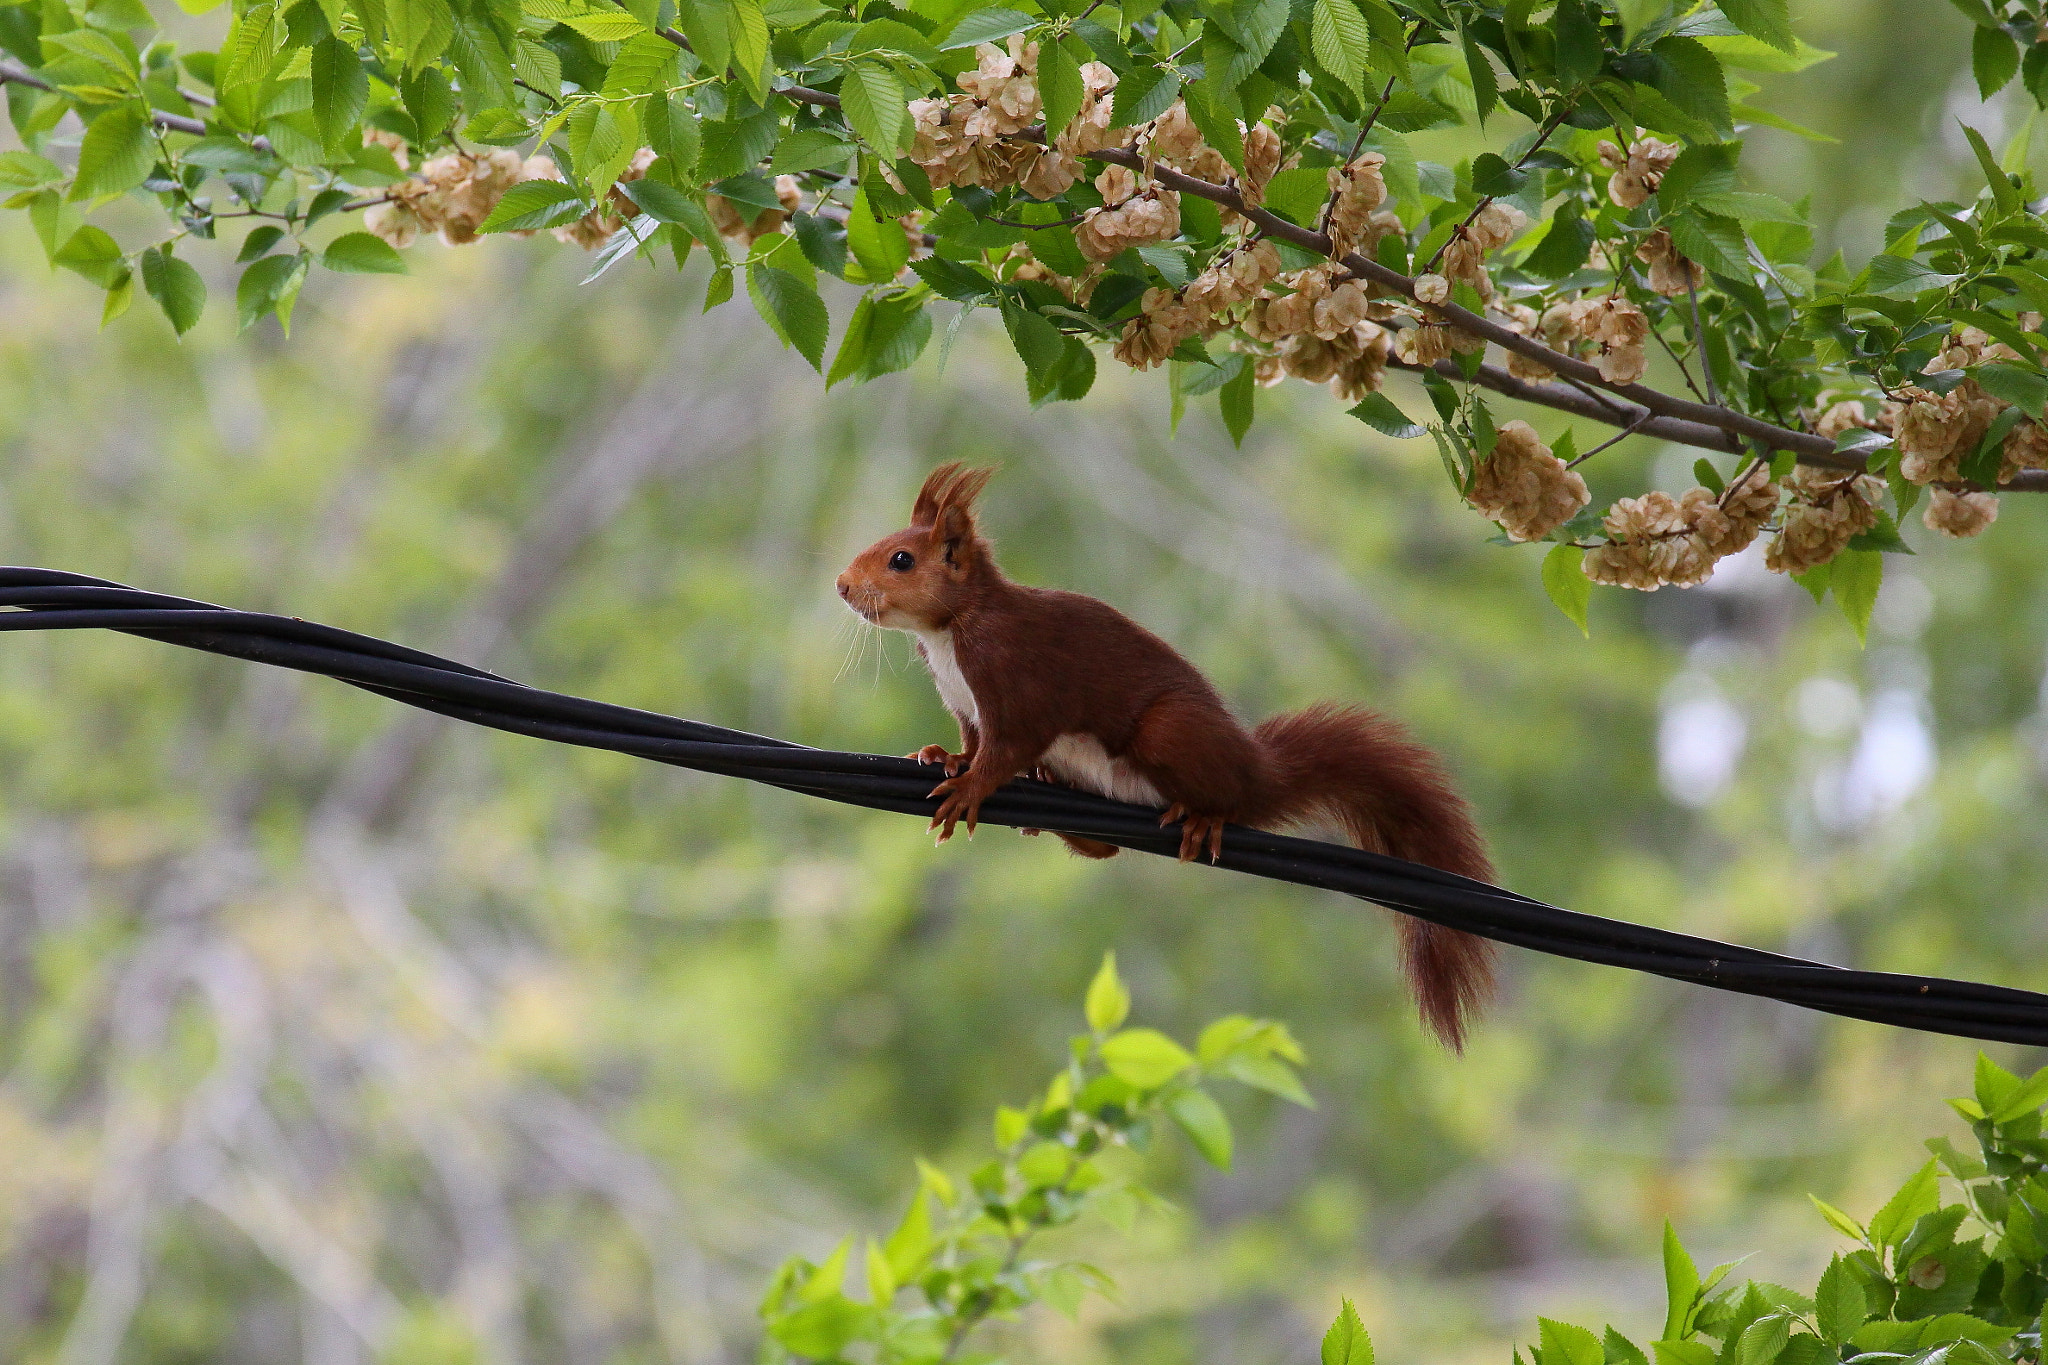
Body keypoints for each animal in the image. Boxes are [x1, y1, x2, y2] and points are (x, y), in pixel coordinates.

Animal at [836, 462, 1498, 1049]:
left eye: (902, 560)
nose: (842, 586)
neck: (947, 631)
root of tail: (1259, 773)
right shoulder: (965, 703)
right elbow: (975, 742)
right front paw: (944, 757)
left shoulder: (1017, 676)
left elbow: (1007, 748)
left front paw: (971, 787)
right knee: (1102, 847)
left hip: (1170, 733)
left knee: (1214, 795)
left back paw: (1202, 816)